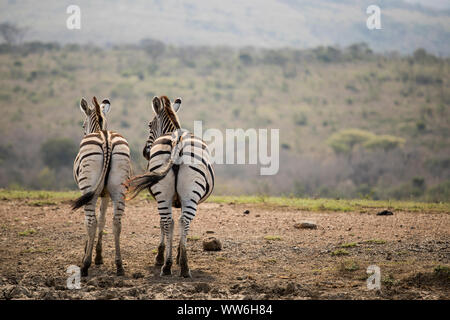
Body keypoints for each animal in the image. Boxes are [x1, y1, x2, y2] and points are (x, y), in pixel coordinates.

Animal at [72, 96, 131, 276]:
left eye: (82, 125)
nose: (83, 131)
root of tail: (106, 140)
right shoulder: (105, 194)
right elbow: (103, 219)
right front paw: (98, 255)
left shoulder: (91, 192)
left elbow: (93, 221)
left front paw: (88, 252)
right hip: (119, 189)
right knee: (116, 223)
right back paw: (119, 265)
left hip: (88, 186)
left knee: (91, 221)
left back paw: (85, 265)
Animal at [125, 95, 215, 278]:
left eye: (150, 125)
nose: (145, 152)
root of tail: (177, 142)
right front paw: (177, 255)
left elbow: (162, 223)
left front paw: (162, 256)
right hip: (189, 194)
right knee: (182, 221)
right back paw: (182, 266)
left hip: (164, 195)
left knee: (168, 221)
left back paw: (167, 264)